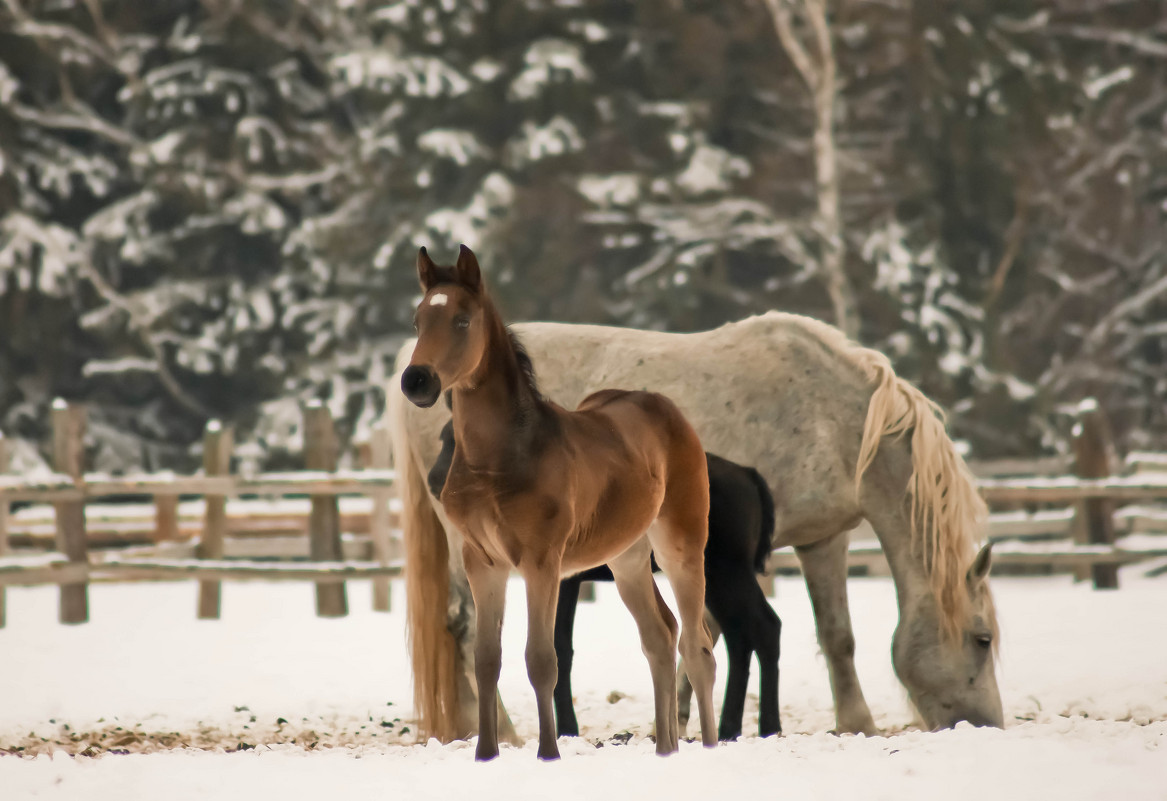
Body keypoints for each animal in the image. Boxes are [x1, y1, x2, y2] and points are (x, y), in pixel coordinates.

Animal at [401, 247, 718, 761]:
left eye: (462, 320)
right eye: (417, 321)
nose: (416, 381)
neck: (500, 456)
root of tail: (665, 408)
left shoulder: (541, 562)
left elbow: (541, 658)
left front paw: (548, 753)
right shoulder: (482, 562)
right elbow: (487, 659)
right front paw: (485, 753)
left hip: (681, 545)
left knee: (697, 646)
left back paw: (708, 747)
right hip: (626, 558)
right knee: (660, 636)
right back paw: (665, 750)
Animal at [424, 422, 779, 742]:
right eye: (442, 439)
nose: (435, 482)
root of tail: (747, 474)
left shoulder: (561, 577)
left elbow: (560, 645)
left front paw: (566, 729)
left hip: (727, 573)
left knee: (763, 628)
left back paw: (766, 726)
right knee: (740, 637)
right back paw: (731, 728)